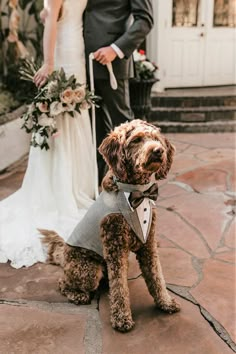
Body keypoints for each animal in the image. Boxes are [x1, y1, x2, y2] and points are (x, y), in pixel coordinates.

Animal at [39, 119, 180, 332]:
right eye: (136, 140)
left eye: (156, 139)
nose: (158, 151)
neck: (136, 192)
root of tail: (64, 255)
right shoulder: (115, 248)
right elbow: (120, 287)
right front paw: (121, 318)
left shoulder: (148, 244)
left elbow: (156, 276)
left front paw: (165, 302)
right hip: (89, 270)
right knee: (63, 282)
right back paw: (78, 295)